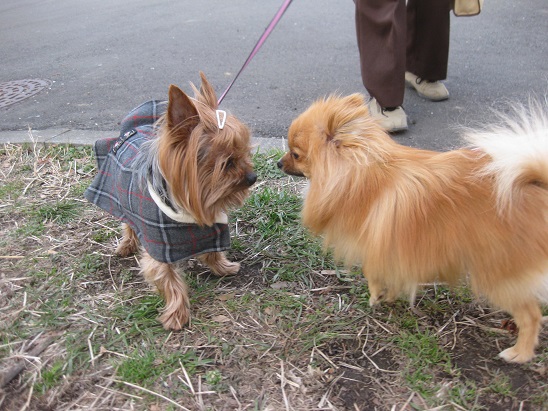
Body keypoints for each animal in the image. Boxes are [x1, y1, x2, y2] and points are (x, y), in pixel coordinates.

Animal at [85, 73, 256, 332]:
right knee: (127, 222)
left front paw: (223, 268)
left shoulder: (212, 230)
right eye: (227, 163)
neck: (189, 206)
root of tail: (131, 130)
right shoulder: (159, 247)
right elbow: (168, 279)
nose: (253, 177)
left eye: (245, 152)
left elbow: (212, 253)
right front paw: (177, 314)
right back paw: (127, 244)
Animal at [280, 93, 548, 364]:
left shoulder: (375, 244)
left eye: (296, 154)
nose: (279, 163)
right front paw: (389, 296)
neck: (362, 175)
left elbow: (372, 273)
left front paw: (376, 297)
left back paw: (519, 353)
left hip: (499, 274)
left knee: (530, 316)